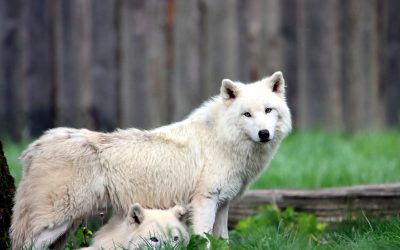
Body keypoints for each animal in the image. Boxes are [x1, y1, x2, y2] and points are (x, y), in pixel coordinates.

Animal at [9, 71, 290, 249]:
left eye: (268, 110)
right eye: (247, 114)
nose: (264, 134)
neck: (222, 139)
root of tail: (34, 147)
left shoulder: (222, 206)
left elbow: (224, 242)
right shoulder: (204, 203)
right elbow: (205, 241)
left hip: (63, 230)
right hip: (52, 227)